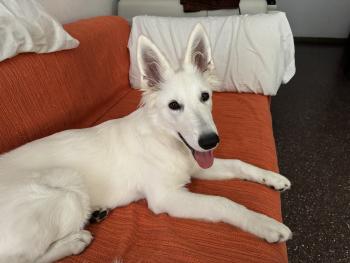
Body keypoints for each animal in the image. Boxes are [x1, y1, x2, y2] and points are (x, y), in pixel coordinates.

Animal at [0, 23, 292, 262]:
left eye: (205, 96)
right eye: (174, 106)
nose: (210, 141)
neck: (163, 138)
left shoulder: (196, 165)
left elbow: (239, 164)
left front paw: (272, 178)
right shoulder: (166, 197)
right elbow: (222, 202)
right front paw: (266, 224)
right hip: (69, 190)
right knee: (24, 259)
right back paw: (75, 241)